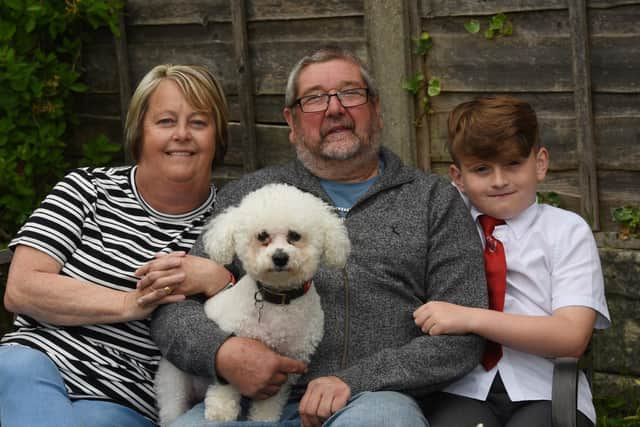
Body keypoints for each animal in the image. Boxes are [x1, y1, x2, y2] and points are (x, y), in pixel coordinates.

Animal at [154, 183, 350, 424]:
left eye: (295, 236)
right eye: (262, 236)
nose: (280, 257)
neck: (278, 302)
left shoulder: (287, 364)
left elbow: (271, 400)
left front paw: (264, 417)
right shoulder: (232, 355)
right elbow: (226, 386)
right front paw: (221, 411)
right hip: (174, 385)